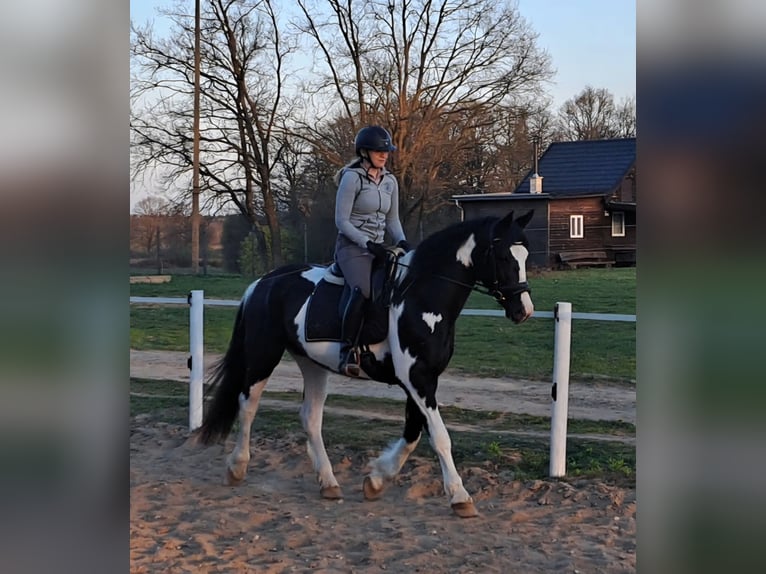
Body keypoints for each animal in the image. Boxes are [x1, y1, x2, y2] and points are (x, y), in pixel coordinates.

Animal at [197, 209, 534, 518]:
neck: (421, 298)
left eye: (525, 255)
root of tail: (262, 283)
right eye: (504, 256)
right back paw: (237, 467)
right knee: (248, 403)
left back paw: (329, 482)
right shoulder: (417, 379)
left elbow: (413, 433)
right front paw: (459, 495)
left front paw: (376, 479)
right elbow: (439, 437)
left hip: (312, 364)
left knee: (310, 417)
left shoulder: (423, 378)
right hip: (263, 354)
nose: (524, 310)